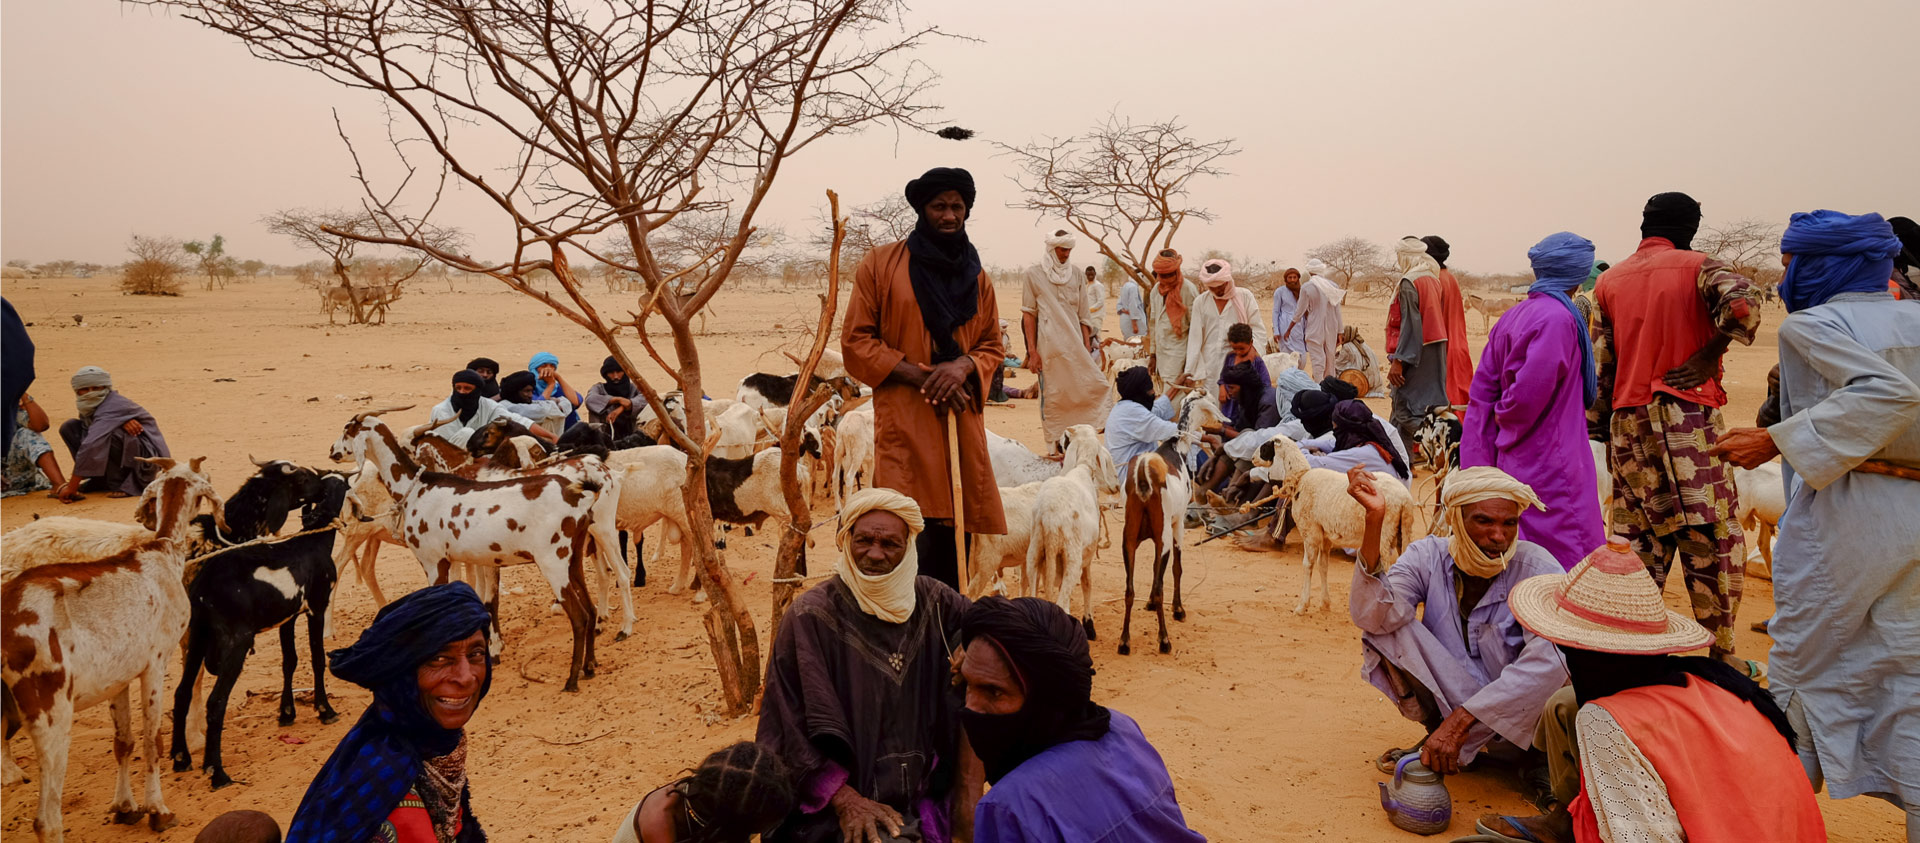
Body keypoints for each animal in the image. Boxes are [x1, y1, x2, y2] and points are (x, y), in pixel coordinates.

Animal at [2, 458, 224, 841]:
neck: (162, 550)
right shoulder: (155, 663)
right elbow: (153, 739)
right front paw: (158, 811)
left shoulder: (118, 676)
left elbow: (125, 742)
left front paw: (125, 807)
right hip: (51, 711)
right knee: (47, 819)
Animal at [170, 476, 355, 791]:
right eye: (341, 485)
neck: (312, 543)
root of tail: (204, 585)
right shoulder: (317, 606)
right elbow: (317, 658)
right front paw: (325, 710)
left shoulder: (288, 617)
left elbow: (289, 661)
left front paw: (287, 713)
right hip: (237, 642)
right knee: (216, 702)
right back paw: (217, 773)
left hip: (198, 636)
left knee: (182, 692)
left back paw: (183, 759)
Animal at [1259, 435, 1428, 614]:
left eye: (1265, 447)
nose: (1254, 458)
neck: (1301, 479)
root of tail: (1405, 498)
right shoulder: (1325, 535)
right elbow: (1323, 565)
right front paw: (1325, 603)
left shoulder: (1310, 532)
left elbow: (1308, 565)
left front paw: (1302, 606)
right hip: (1403, 531)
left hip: (1385, 533)